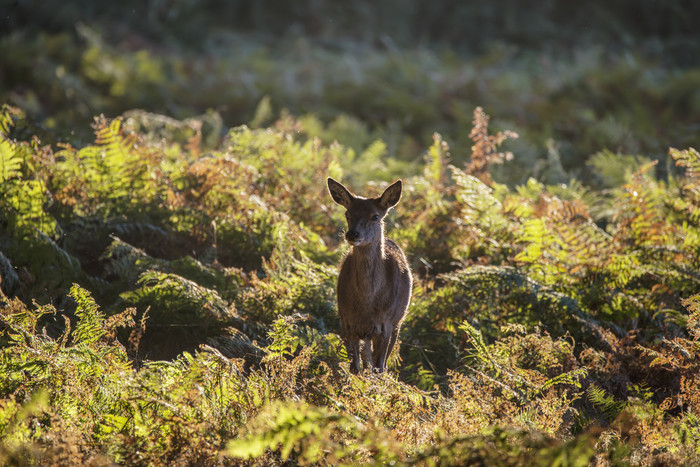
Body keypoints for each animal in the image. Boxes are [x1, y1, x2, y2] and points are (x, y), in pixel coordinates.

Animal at [326, 177, 410, 374]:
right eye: (347, 214)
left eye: (375, 216)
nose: (352, 234)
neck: (366, 303)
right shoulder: (347, 322)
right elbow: (355, 368)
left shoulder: (385, 324)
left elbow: (379, 367)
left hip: (398, 320)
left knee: (383, 362)